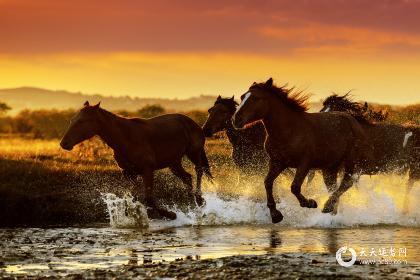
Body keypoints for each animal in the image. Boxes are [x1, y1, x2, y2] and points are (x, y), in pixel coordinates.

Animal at [60, 101, 212, 220]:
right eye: (72, 120)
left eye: (81, 121)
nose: (64, 143)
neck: (125, 138)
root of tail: (194, 123)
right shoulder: (129, 173)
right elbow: (134, 198)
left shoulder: (147, 170)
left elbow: (148, 199)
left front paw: (171, 215)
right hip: (173, 163)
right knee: (187, 177)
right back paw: (194, 205)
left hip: (193, 152)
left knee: (199, 171)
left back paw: (200, 200)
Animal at [231, 78, 372, 223]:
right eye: (242, 97)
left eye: (256, 98)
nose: (236, 119)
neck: (289, 131)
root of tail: (354, 121)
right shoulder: (277, 163)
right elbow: (267, 182)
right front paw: (276, 215)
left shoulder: (304, 164)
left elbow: (294, 187)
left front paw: (310, 203)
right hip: (330, 168)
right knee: (333, 188)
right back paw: (332, 212)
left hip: (350, 161)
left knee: (346, 183)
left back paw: (327, 206)